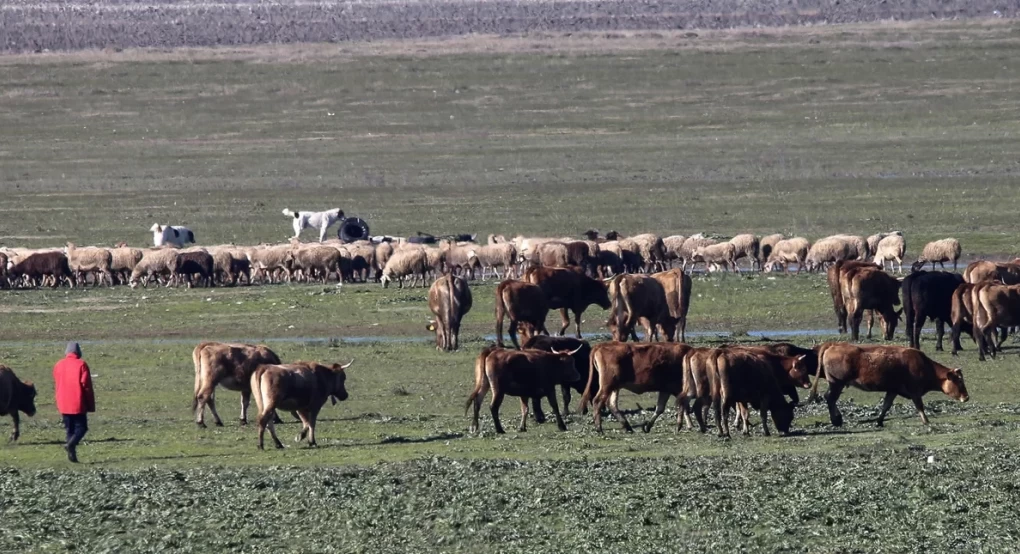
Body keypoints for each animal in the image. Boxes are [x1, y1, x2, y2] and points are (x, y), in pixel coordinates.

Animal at [811, 342, 962, 428]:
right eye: (958, 381)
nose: (965, 397)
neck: (924, 365)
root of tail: (832, 345)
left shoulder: (892, 390)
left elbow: (886, 405)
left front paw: (879, 421)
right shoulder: (914, 391)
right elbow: (920, 406)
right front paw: (926, 421)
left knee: (830, 398)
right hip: (837, 383)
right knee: (830, 398)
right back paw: (836, 420)